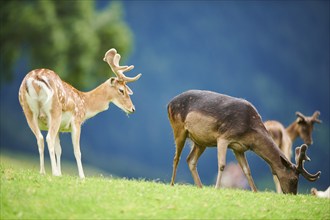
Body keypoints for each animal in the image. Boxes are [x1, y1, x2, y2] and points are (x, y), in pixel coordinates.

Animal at [18, 48, 141, 179]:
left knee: (40, 139)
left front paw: (60, 173)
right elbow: (77, 151)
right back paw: (53, 172)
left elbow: (59, 149)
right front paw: (81, 176)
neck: (85, 104)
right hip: (55, 111)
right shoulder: (77, 121)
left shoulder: (59, 128)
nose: (132, 109)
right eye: (121, 90)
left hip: (28, 112)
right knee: (48, 138)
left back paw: (43, 172)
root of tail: (35, 77)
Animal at [168, 90, 320, 194]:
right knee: (176, 157)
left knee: (190, 160)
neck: (249, 130)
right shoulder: (223, 137)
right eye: (294, 179)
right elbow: (222, 165)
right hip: (179, 129)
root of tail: (169, 104)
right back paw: (172, 184)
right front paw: (217, 189)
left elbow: (247, 170)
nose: (292, 194)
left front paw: (255, 191)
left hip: (200, 141)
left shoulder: (239, 148)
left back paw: (200, 187)